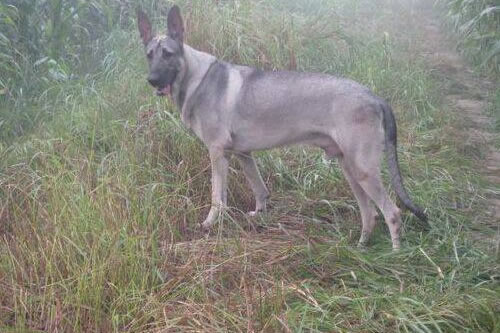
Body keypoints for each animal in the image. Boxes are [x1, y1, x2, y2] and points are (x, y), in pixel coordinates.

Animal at [138, 5, 430, 249]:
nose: (152, 80)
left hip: (363, 171)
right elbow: (260, 190)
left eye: (168, 54)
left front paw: (210, 224)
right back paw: (361, 247)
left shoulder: (218, 152)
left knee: (392, 213)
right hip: (350, 170)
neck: (194, 77)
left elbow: (217, 197)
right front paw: (258, 216)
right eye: (149, 55)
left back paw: (395, 254)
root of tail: (375, 97)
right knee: (369, 213)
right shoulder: (242, 154)